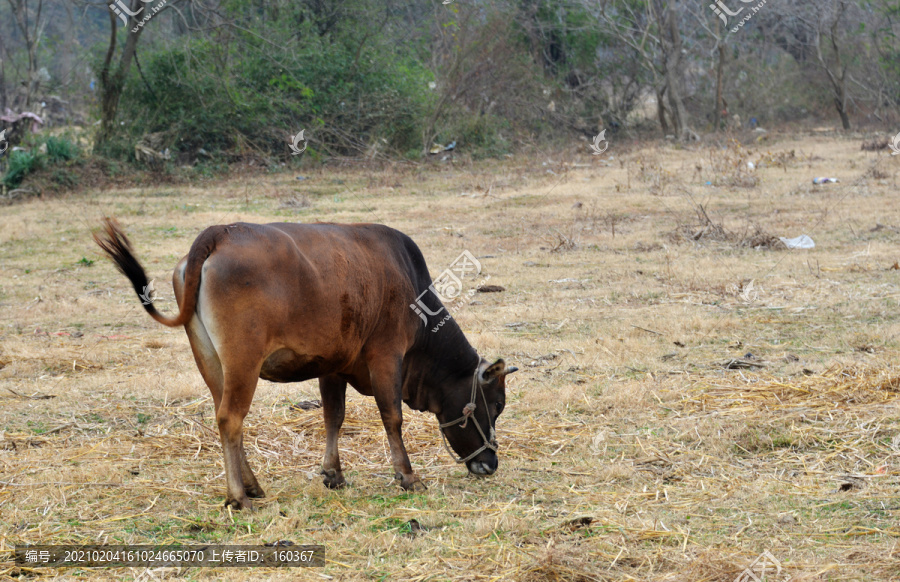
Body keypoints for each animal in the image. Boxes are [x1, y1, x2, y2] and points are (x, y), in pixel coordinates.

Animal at [95, 219, 516, 512]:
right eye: (496, 405)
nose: (491, 463)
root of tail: (220, 233)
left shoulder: (333, 366)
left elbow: (334, 417)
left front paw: (333, 473)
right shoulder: (386, 355)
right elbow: (392, 417)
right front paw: (407, 476)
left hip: (210, 360)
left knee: (225, 416)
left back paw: (251, 485)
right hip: (243, 360)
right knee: (231, 418)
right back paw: (239, 497)